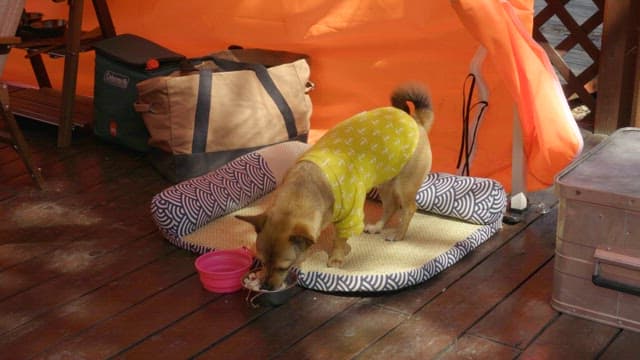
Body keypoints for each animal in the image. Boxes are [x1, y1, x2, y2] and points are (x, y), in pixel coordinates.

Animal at [236, 83, 436, 292]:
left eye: (284, 267)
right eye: (261, 261)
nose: (266, 286)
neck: (302, 190)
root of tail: (416, 121)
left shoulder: (350, 216)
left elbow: (340, 239)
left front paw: (336, 259)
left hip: (404, 185)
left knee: (408, 208)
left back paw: (398, 235)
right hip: (385, 181)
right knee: (390, 206)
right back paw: (378, 227)